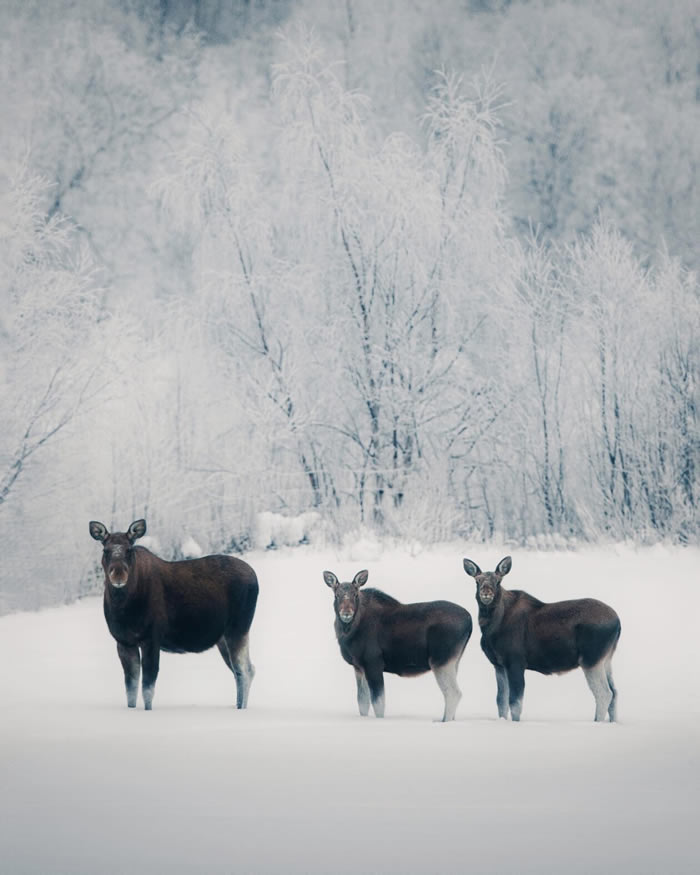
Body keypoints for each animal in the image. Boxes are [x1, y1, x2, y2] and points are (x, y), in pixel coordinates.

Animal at [89, 520, 258, 712]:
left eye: (129, 549)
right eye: (105, 550)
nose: (118, 574)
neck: (123, 608)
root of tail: (255, 578)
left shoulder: (151, 639)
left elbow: (147, 689)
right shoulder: (124, 642)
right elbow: (130, 690)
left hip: (238, 630)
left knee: (244, 670)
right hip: (222, 638)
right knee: (244, 670)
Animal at [322, 572, 470, 724]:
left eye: (355, 594)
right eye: (336, 594)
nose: (346, 613)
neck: (348, 632)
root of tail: (469, 620)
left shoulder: (373, 663)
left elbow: (378, 704)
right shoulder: (358, 667)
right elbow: (362, 702)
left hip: (440, 661)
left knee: (453, 693)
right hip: (453, 662)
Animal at [462, 556, 620, 724]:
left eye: (498, 581)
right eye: (477, 581)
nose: (486, 593)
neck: (490, 627)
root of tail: (618, 622)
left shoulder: (515, 662)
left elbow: (515, 703)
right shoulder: (498, 665)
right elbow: (501, 701)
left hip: (591, 660)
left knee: (604, 694)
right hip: (606, 660)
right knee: (614, 693)